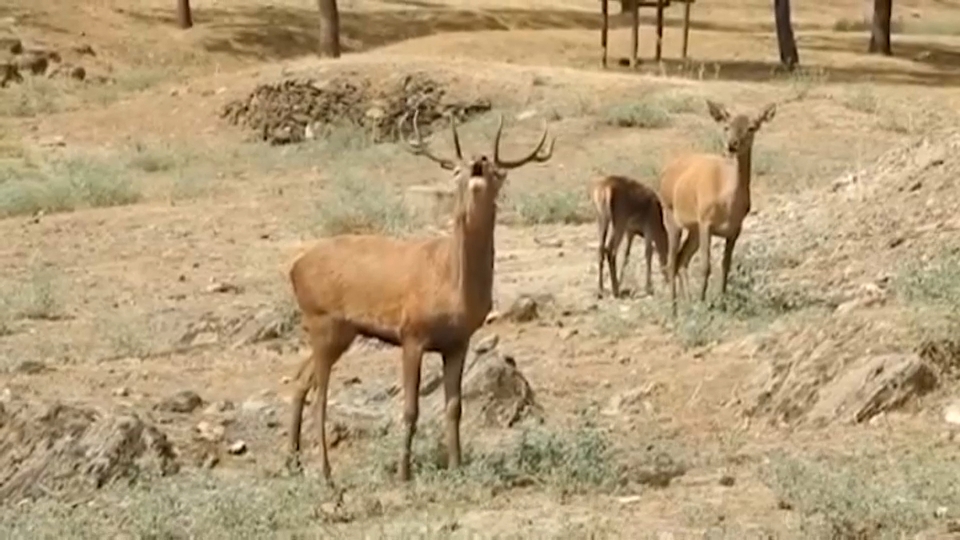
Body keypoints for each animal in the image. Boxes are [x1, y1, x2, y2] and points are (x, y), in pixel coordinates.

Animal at [286, 109, 555, 484]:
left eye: (498, 172)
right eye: (455, 169)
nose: (478, 161)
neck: (451, 286)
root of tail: (294, 268)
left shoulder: (458, 341)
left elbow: (454, 407)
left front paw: (456, 466)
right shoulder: (411, 333)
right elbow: (410, 409)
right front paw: (403, 473)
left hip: (340, 331)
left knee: (300, 381)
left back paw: (293, 462)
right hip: (323, 320)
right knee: (321, 394)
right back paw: (325, 473)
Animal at [658, 99, 777, 317]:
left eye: (752, 127)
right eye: (726, 126)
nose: (732, 145)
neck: (728, 202)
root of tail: (663, 175)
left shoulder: (734, 229)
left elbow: (725, 265)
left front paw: (721, 303)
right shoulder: (706, 221)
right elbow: (706, 266)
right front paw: (704, 304)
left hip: (694, 229)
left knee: (682, 259)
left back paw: (687, 303)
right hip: (671, 215)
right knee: (671, 261)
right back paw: (674, 309)